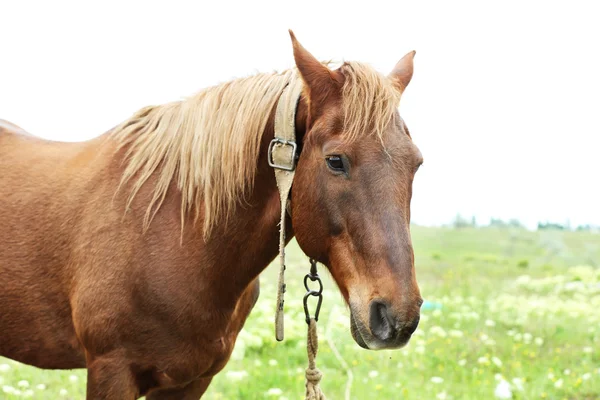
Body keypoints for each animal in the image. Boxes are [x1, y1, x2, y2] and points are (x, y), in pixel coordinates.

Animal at [0, 32, 424, 400]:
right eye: (336, 161)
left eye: (416, 163)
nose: (397, 317)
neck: (173, 233)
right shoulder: (112, 372)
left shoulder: (191, 381)